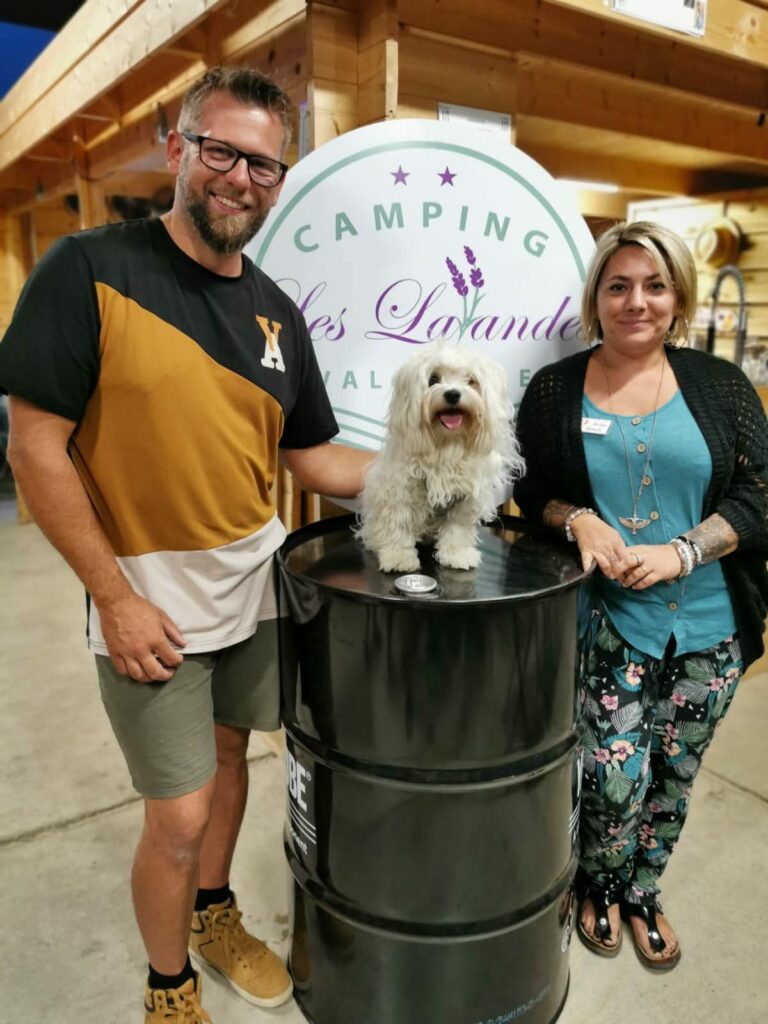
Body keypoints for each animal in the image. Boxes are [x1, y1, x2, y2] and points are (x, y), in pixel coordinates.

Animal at [356, 344, 524, 572]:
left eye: (471, 380)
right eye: (433, 379)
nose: (452, 394)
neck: (446, 444)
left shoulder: (465, 499)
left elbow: (458, 529)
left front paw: (457, 554)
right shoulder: (401, 490)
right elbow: (398, 524)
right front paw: (398, 557)